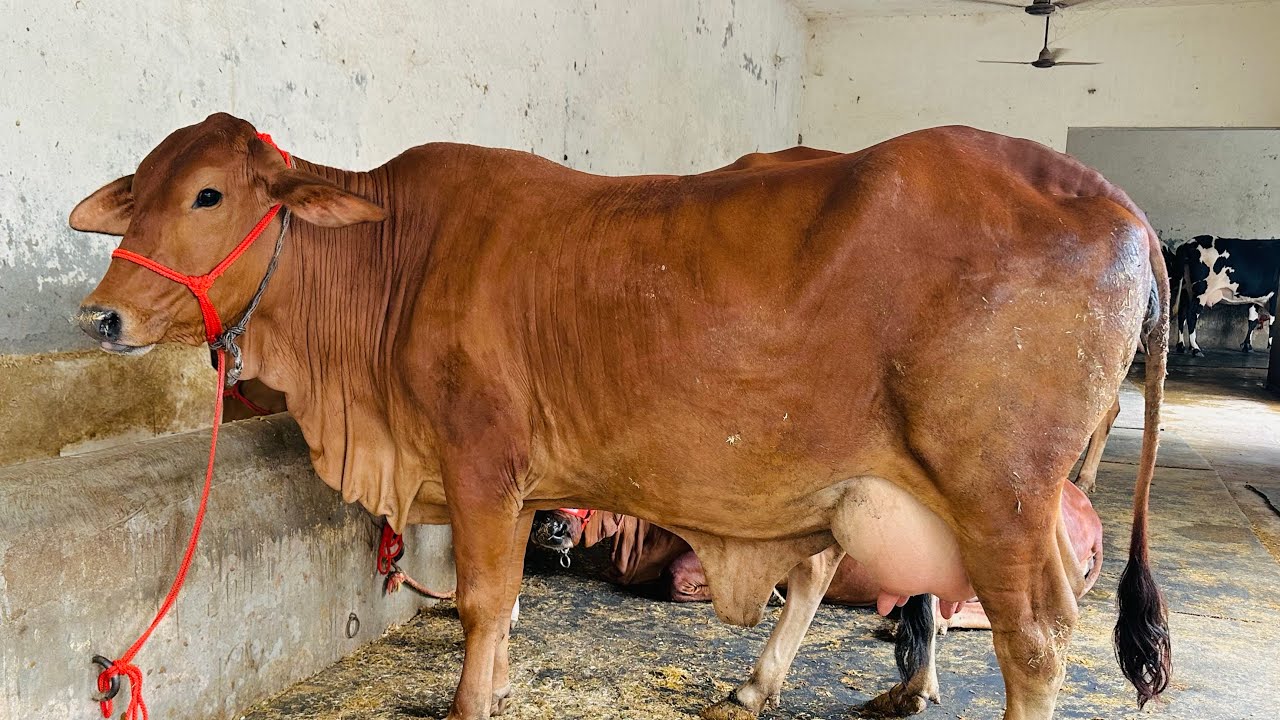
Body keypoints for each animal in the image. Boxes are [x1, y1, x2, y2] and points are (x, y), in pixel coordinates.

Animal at [71, 114, 1170, 720]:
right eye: (140, 191)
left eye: (209, 194)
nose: (101, 315)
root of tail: (1115, 204)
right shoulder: (515, 484)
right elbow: (509, 598)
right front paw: (498, 686)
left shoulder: (478, 459)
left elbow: (480, 601)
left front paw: (468, 703)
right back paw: (758, 687)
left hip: (998, 494)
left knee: (1035, 641)